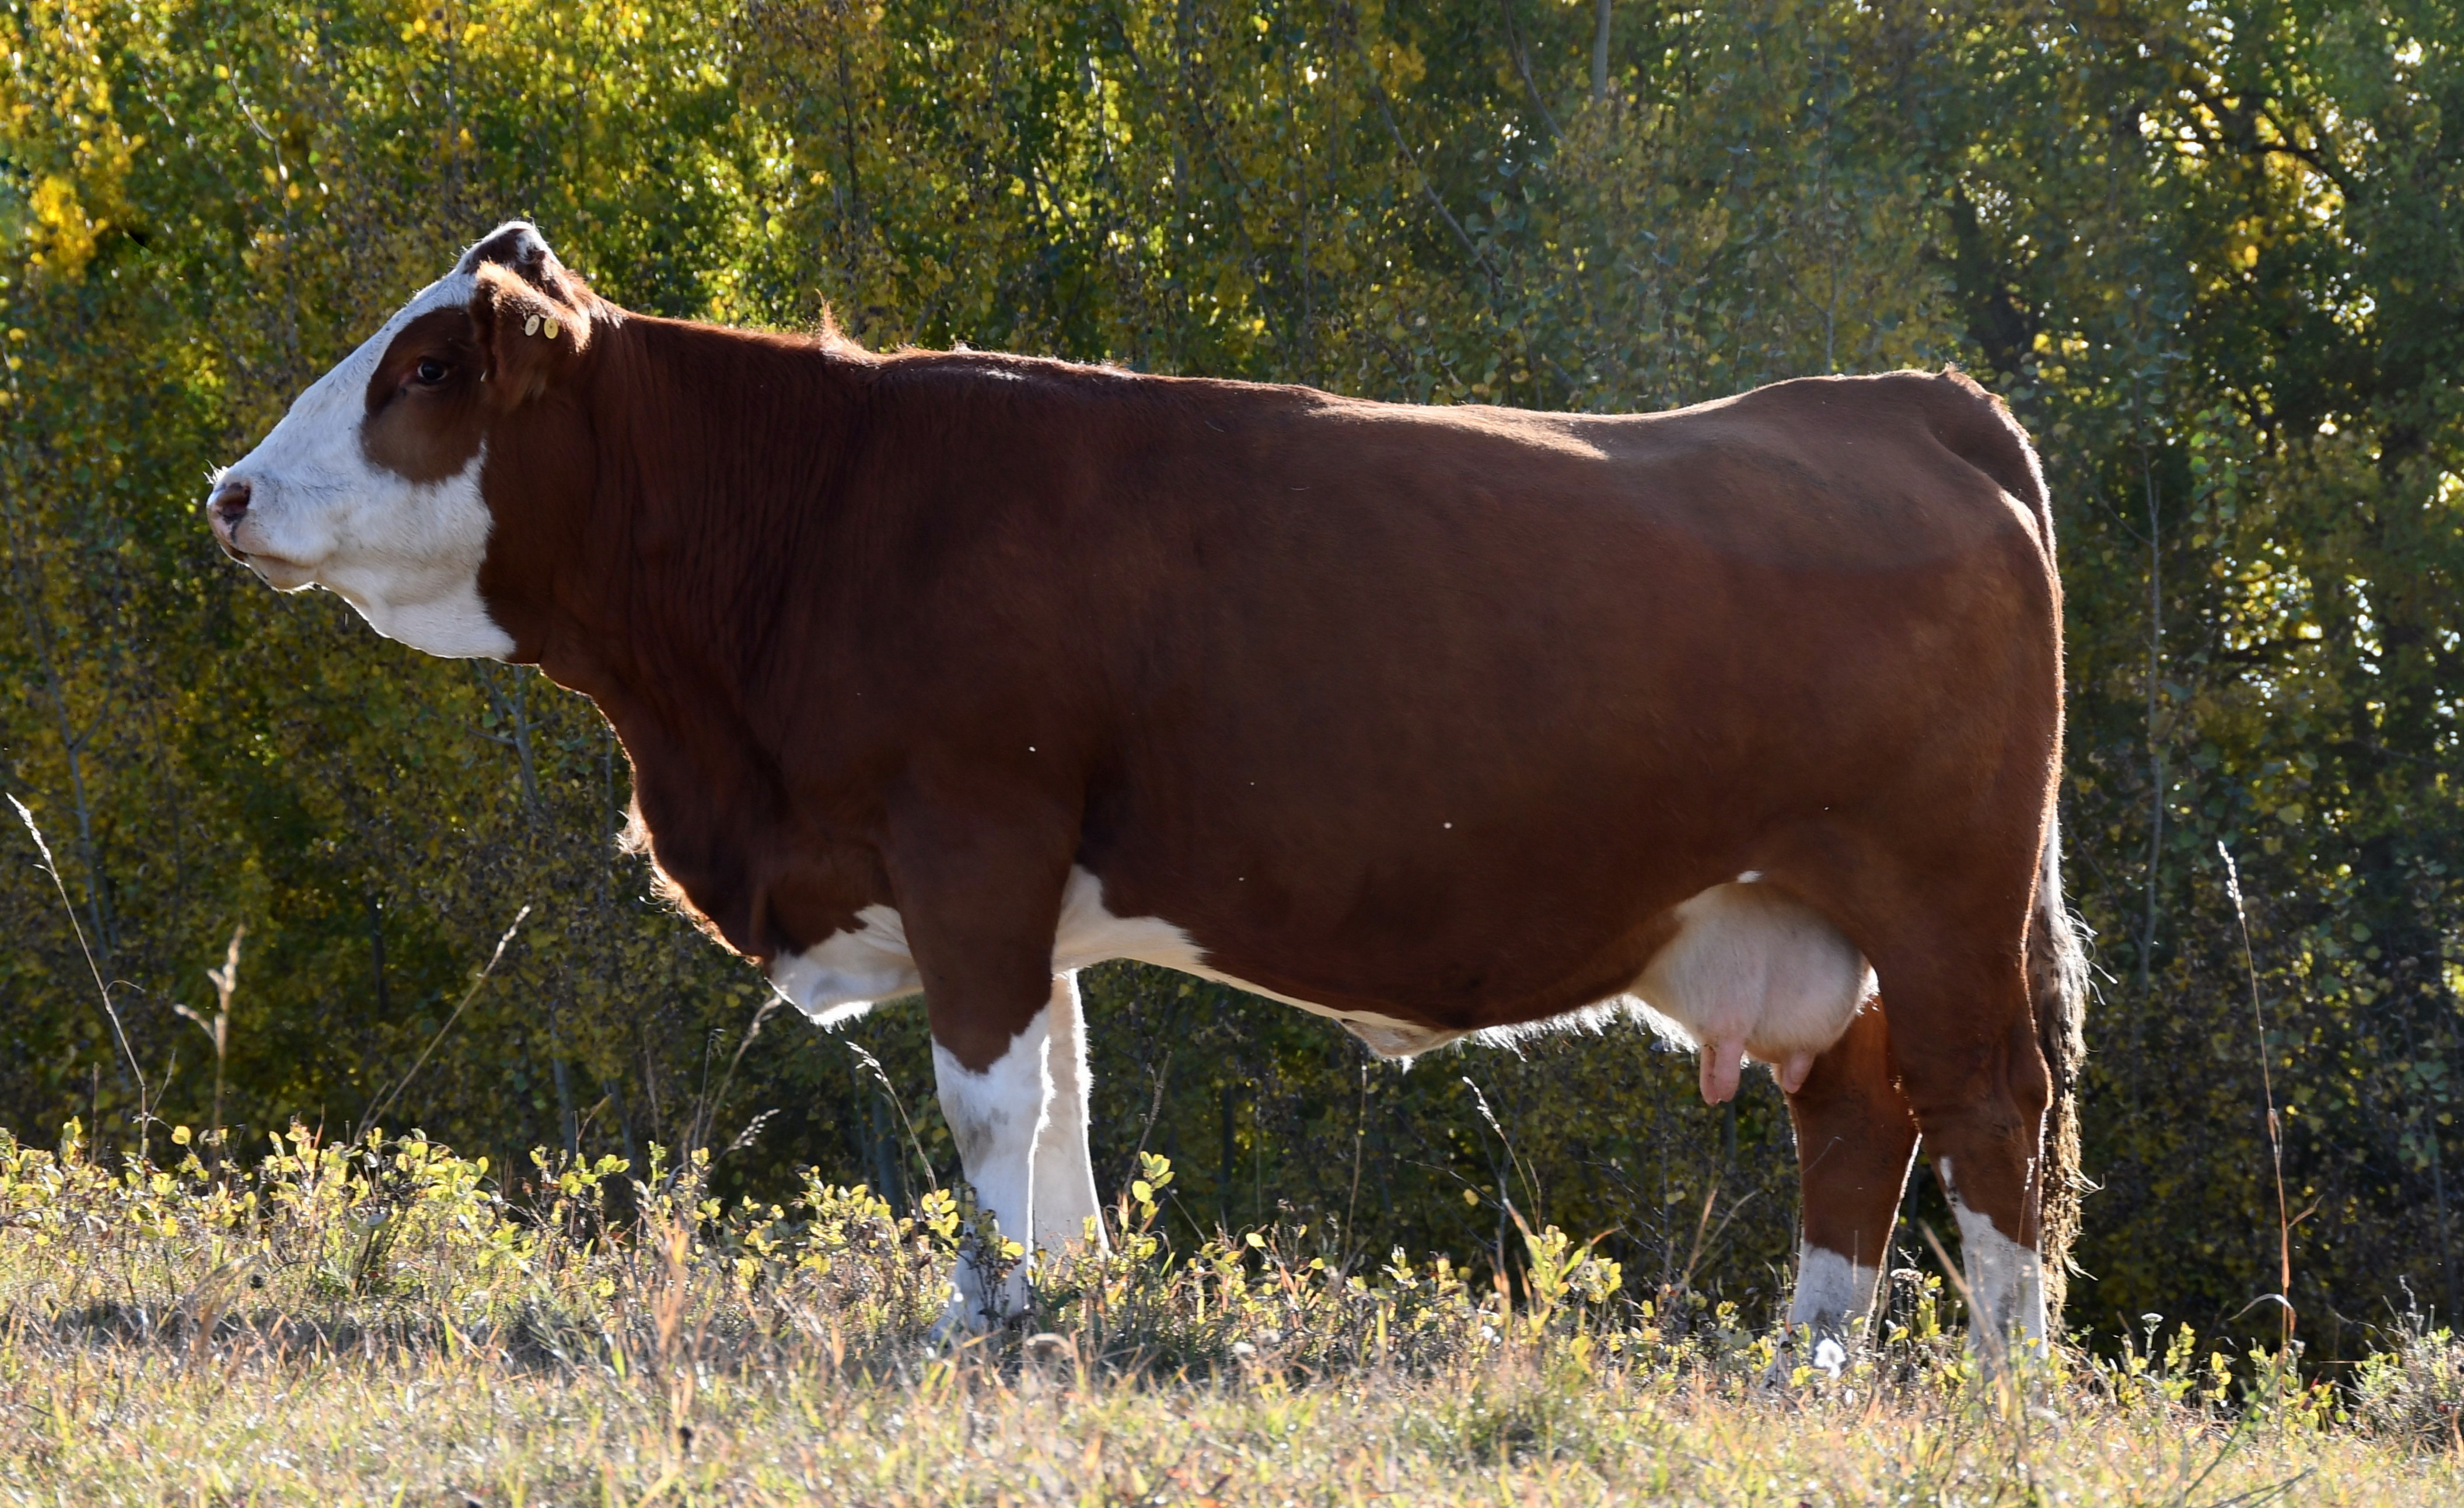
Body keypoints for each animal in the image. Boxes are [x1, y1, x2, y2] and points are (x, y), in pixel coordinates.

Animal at [208, 223, 2087, 1361]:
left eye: (429, 370)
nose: (226, 489)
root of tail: (1897, 401)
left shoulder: (971, 836)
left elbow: (986, 1103)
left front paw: (986, 1321)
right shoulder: (1021, 891)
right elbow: (1062, 1105)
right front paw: (1053, 1305)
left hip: (1940, 895)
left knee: (1989, 1109)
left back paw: (1994, 1384)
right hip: (1807, 919)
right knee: (1856, 1115)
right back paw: (1807, 1366)